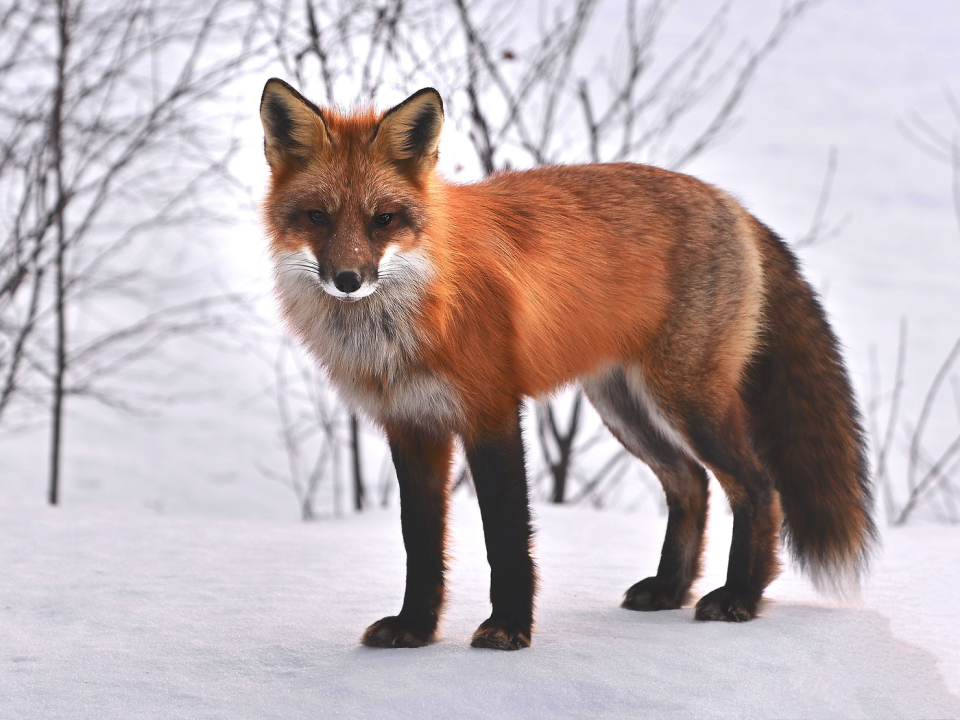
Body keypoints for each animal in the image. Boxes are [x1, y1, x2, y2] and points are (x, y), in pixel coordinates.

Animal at [258, 80, 872, 652]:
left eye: (383, 219)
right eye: (317, 217)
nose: (348, 280)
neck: (411, 316)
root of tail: (731, 203)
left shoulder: (492, 413)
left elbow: (505, 538)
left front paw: (508, 628)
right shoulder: (411, 426)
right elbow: (421, 545)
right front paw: (415, 629)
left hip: (687, 399)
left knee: (758, 487)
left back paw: (740, 596)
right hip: (623, 406)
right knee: (691, 483)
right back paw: (670, 589)